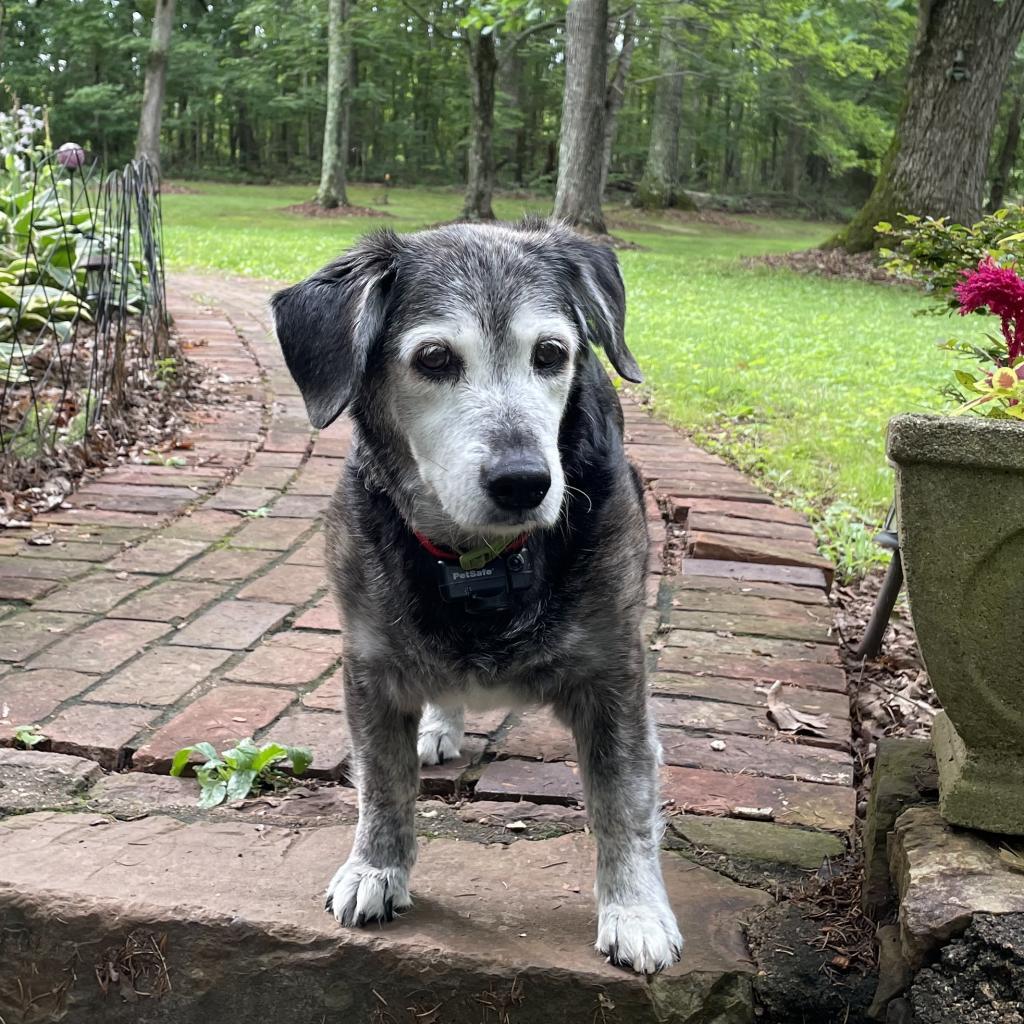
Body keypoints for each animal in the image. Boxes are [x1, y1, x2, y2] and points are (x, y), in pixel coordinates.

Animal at [272, 218, 684, 974]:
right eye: (434, 358)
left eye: (551, 353)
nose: (525, 480)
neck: (482, 561)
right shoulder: (369, 668)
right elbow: (383, 783)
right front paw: (375, 869)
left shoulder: (615, 675)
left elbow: (623, 799)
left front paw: (635, 910)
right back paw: (439, 726)